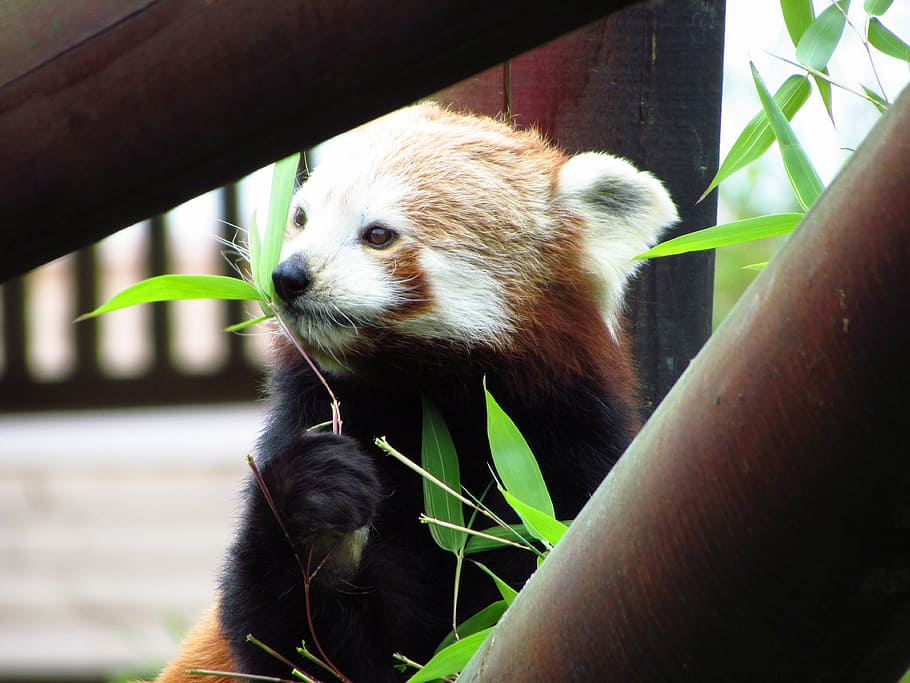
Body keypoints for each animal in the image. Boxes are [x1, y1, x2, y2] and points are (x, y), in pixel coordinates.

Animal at [154, 102, 677, 682]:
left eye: (378, 234)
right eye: (301, 219)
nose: (288, 276)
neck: (420, 401)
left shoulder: (567, 453)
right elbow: (289, 644)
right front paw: (317, 506)